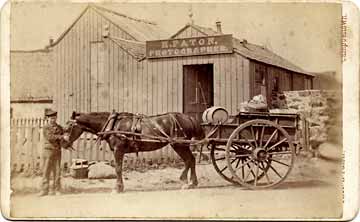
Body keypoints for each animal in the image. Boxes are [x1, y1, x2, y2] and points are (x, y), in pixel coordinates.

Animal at [64, 111, 205, 193]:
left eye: (69, 126)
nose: (64, 143)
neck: (113, 125)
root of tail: (189, 117)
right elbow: (118, 169)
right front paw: (119, 187)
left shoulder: (118, 150)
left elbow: (118, 169)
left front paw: (118, 188)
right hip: (181, 145)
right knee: (191, 160)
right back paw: (192, 182)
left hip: (179, 144)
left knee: (189, 160)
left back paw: (187, 181)